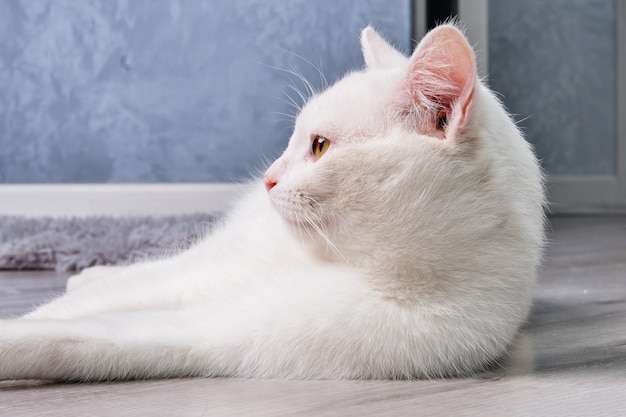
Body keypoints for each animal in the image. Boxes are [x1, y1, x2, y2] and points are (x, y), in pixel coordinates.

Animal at [0, 25, 540, 380]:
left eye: (319, 146)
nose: (268, 178)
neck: (353, 264)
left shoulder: (217, 332)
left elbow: (74, 338)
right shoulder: (197, 275)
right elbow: (76, 309)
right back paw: (89, 271)